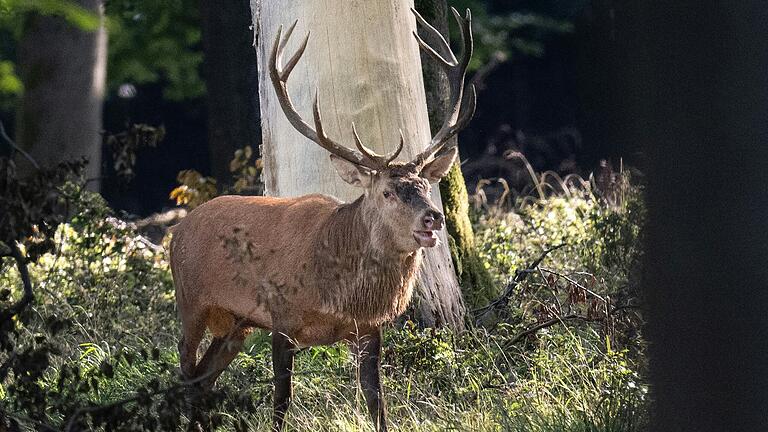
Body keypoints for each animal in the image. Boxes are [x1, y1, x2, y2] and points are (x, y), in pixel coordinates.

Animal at [170, 6, 474, 432]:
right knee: (185, 367)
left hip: (236, 323)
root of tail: (177, 230)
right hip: (191, 300)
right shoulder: (281, 318)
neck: (338, 290)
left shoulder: (369, 329)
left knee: (202, 379)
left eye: (425, 187)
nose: (432, 218)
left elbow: (376, 402)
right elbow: (282, 401)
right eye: (386, 192)